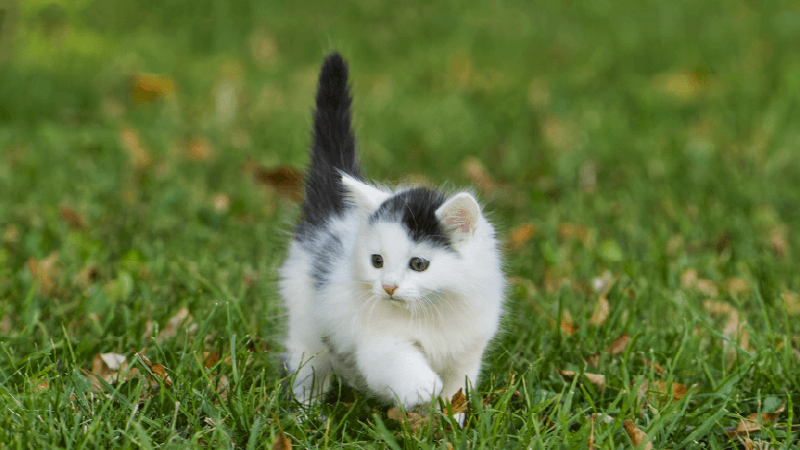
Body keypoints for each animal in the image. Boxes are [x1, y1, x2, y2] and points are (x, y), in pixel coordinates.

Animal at [280, 51, 506, 412]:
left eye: (419, 264)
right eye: (377, 261)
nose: (388, 287)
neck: (434, 312)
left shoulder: (469, 350)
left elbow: (457, 390)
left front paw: (448, 418)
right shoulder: (374, 340)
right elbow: (395, 359)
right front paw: (421, 387)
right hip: (305, 318)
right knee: (308, 366)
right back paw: (304, 413)